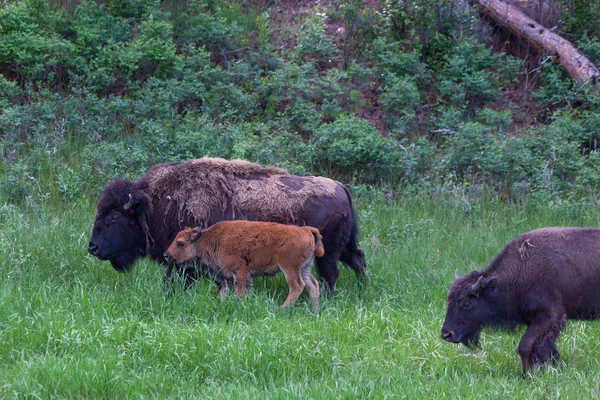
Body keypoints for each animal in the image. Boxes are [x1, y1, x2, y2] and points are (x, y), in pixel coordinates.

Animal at [86, 158, 364, 292]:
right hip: (344, 246)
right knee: (358, 260)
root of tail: (341, 187)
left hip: (327, 252)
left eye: (113, 218)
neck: (154, 203)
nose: (93, 248)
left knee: (332, 274)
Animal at [163, 222, 324, 312]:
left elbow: (239, 293)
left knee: (297, 286)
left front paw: (238, 306)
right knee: (313, 285)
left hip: (289, 268)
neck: (214, 239)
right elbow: (225, 293)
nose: (166, 255)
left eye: (180, 243)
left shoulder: (240, 272)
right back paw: (314, 312)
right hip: (304, 268)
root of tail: (306, 230)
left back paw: (282, 309)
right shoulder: (227, 277)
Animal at [440, 228, 600, 376]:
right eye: (449, 300)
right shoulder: (536, 320)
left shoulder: (550, 316)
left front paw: (527, 374)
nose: (447, 334)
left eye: (466, 303)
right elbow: (545, 348)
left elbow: (525, 345)